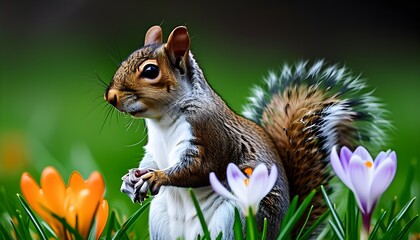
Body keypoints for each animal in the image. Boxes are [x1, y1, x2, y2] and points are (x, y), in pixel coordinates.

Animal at [104, 25, 388, 239]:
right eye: (124, 61)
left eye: (150, 71)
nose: (111, 97)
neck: (162, 120)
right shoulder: (154, 148)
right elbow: (149, 160)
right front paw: (130, 179)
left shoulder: (210, 134)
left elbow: (198, 169)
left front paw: (157, 177)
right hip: (161, 219)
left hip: (235, 216)